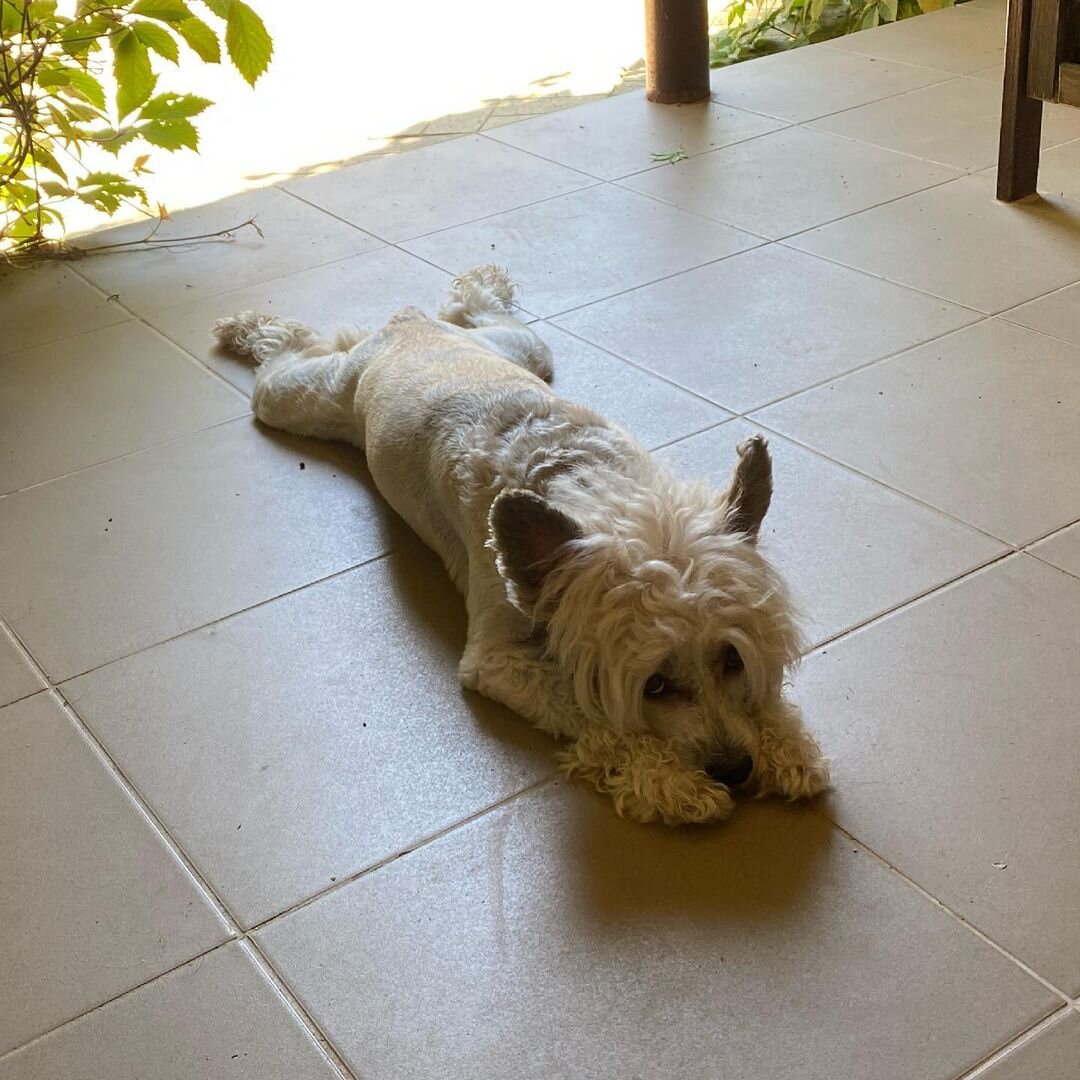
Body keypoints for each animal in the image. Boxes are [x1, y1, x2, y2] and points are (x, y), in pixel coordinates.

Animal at [214, 265, 829, 820]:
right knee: (284, 349)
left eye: (732, 658)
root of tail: (407, 328)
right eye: (653, 685)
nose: (736, 769)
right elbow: (594, 712)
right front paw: (666, 780)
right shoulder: (496, 658)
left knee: (475, 307)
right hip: (304, 397)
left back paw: (481, 279)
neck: (585, 483)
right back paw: (244, 326)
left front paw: (784, 743)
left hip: (521, 347)